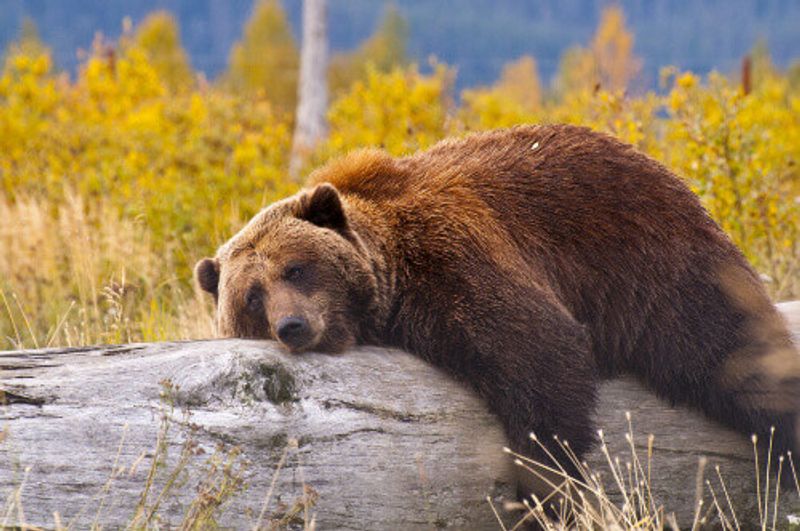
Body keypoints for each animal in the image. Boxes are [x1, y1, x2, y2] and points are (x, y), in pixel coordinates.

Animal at [195, 124, 800, 486]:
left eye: (295, 268)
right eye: (252, 296)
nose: (293, 325)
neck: (396, 275)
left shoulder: (456, 254)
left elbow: (539, 352)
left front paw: (548, 482)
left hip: (661, 270)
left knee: (735, 356)